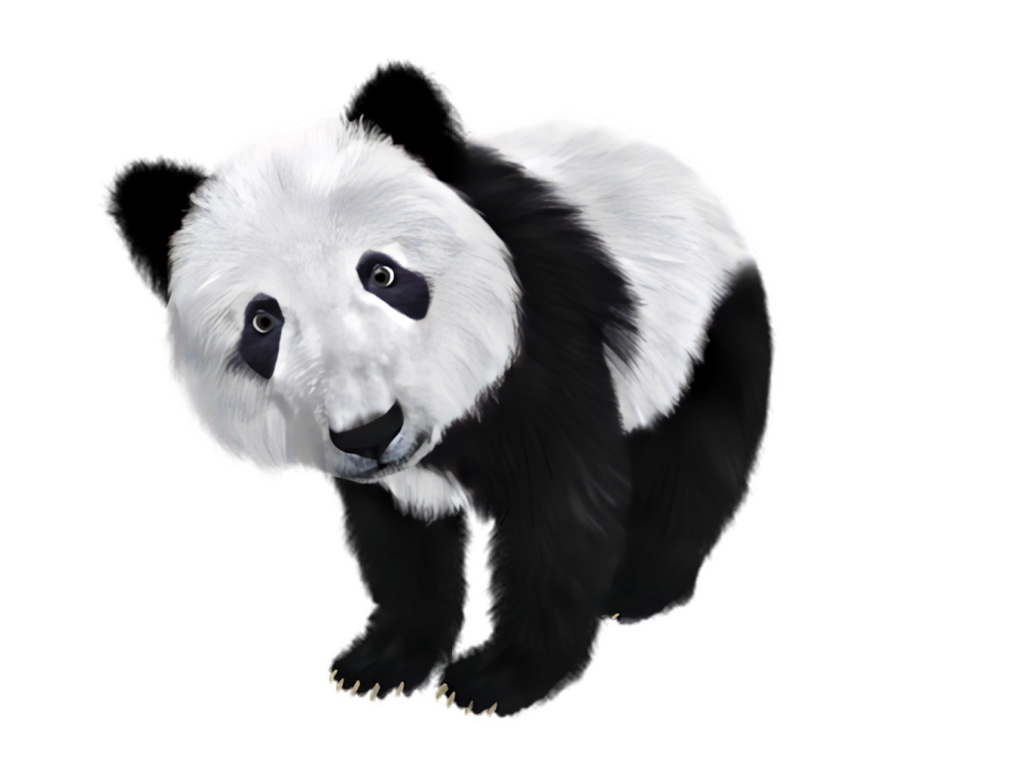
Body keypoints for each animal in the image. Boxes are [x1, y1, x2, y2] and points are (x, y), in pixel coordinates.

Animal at [160, 110, 775, 720]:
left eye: (382, 274)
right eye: (263, 322)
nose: (371, 432)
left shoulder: (544, 335)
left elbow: (555, 510)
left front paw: (501, 677)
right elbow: (399, 538)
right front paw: (384, 665)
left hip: (708, 323)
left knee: (696, 457)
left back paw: (639, 592)